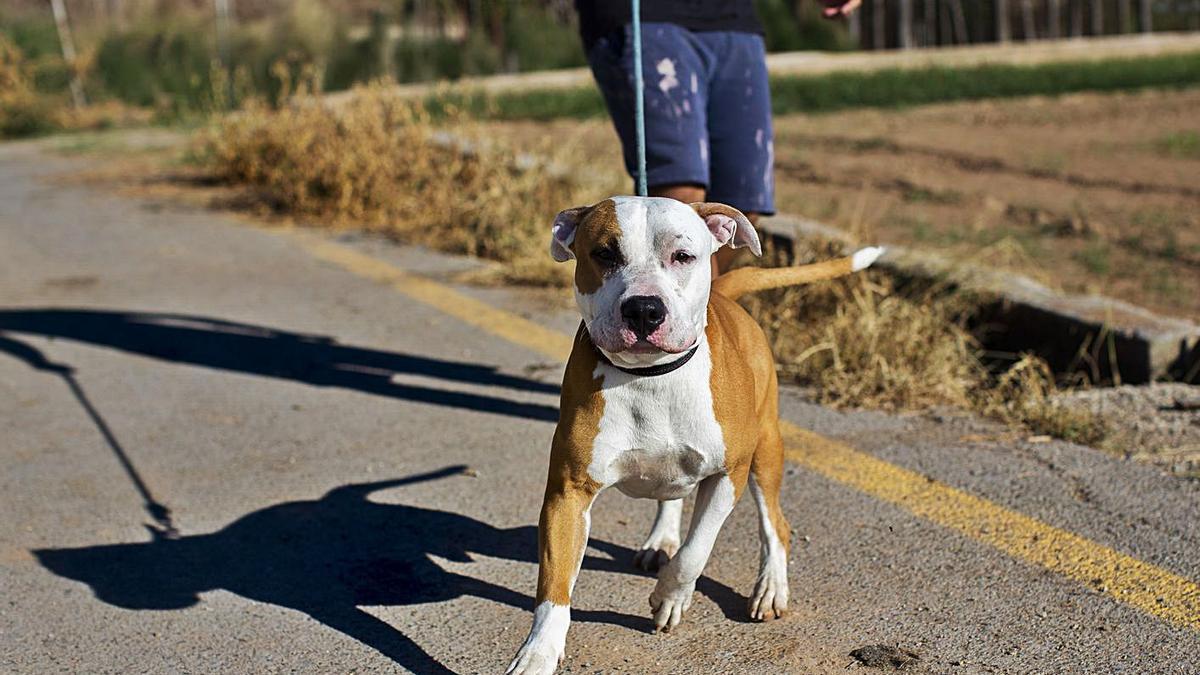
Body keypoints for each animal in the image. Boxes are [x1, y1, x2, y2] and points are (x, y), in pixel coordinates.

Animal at [506, 195, 883, 672]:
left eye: (683, 256)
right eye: (604, 254)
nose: (644, 309)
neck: (650, 376)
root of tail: (725, 294)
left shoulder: (727, 475)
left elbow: (695, 552)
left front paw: (671, 596)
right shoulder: (568, 493)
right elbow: (553, 586)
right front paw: (538, 652)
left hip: (765, 450)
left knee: (775, 523)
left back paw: (770, 588)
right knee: (672, 496)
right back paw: (661, 539)